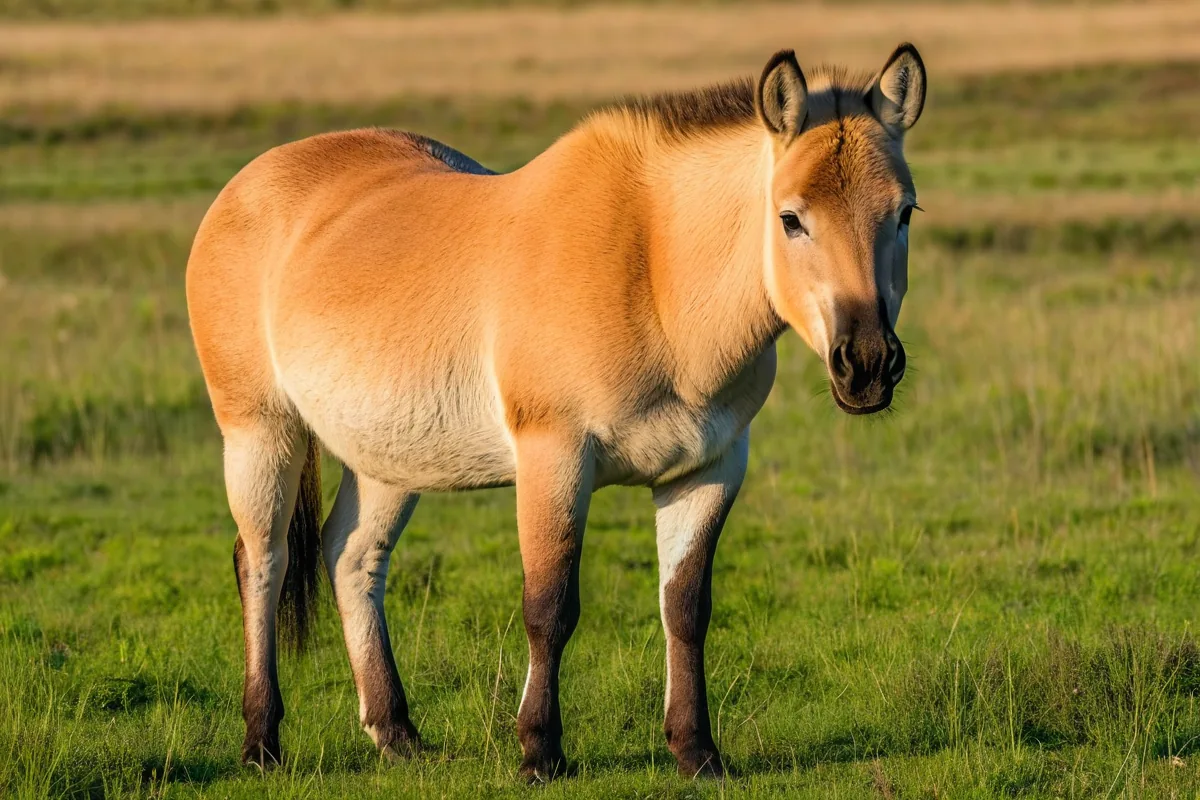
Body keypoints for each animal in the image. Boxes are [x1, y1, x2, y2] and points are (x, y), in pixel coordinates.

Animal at [186, 43, 926, 780]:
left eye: (905, 214)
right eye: (791, 218)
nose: (866, 364)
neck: (653, 271)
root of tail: (246, 184)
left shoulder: (710, 468)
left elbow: (685, 606)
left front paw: (697, 750)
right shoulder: (556, 457)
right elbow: (550, 606)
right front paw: (540, 749)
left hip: (387, 460)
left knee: (351, 558)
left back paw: (396, 733)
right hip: (260, 432)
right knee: (264, 562)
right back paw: (261, 741)